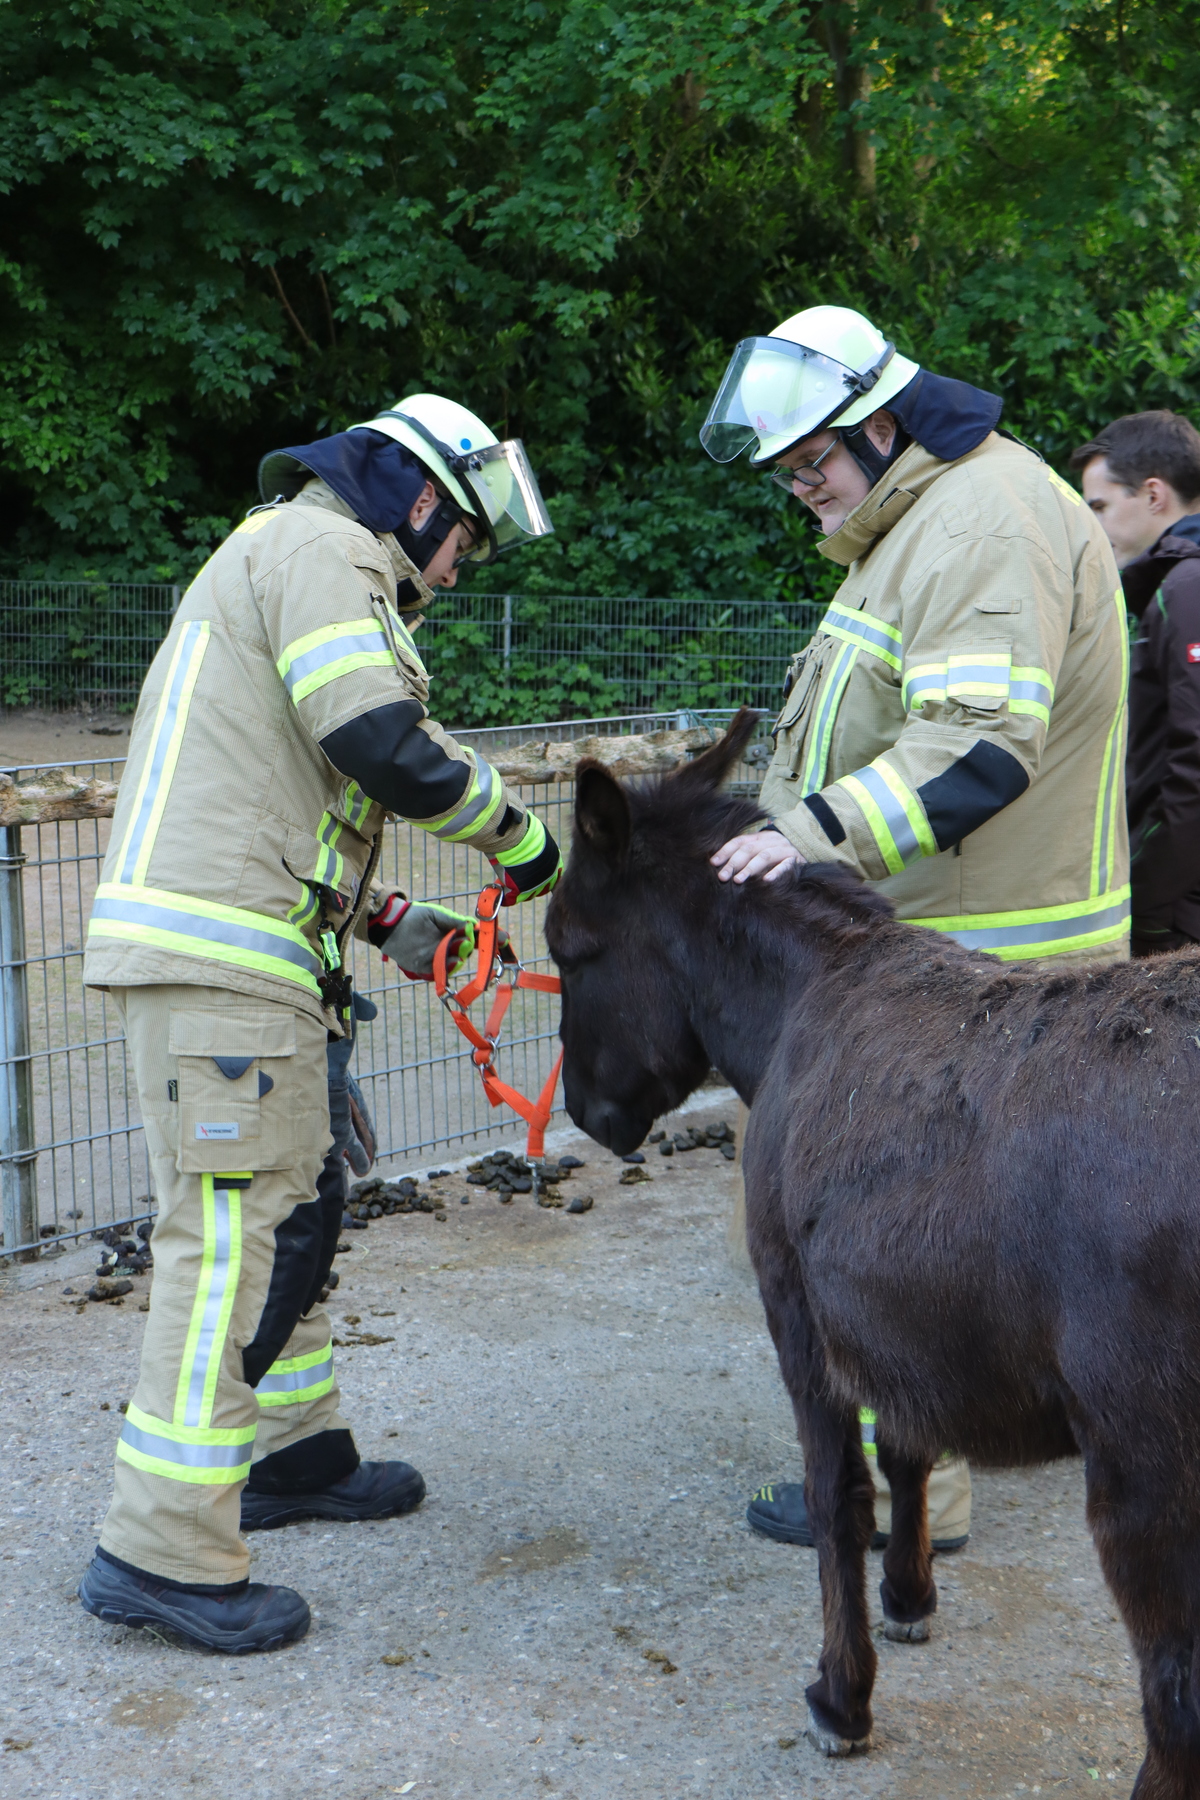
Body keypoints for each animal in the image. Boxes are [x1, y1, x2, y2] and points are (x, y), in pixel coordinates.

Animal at [544, 707, 1200, 1800]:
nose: (587, 1116)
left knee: (1173, 1694)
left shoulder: (797, 1314)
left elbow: (839, 1497)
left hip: (1149, 1457)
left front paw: (841, 1697)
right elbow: (908, 1449)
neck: (798, 1003)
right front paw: (911, 1596)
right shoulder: (897, 1319)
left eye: (567, 948)